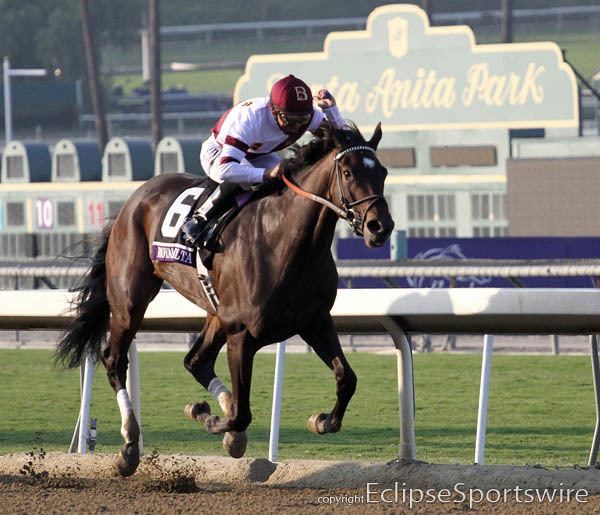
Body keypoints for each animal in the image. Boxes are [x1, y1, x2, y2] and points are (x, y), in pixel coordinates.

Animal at [55, 123, 394, 478]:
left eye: (382, 172)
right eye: (348, 172)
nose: (380, 227)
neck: (284, 242)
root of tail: (132, 201)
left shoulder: (315, 322)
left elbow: (347, 378)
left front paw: (323, 420)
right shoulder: (242, 335)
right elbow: (242, 414)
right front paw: (210, 417)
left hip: (216, 312)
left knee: (196, 360)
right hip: (130, 300)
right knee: (115, 359)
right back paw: (130, 446)